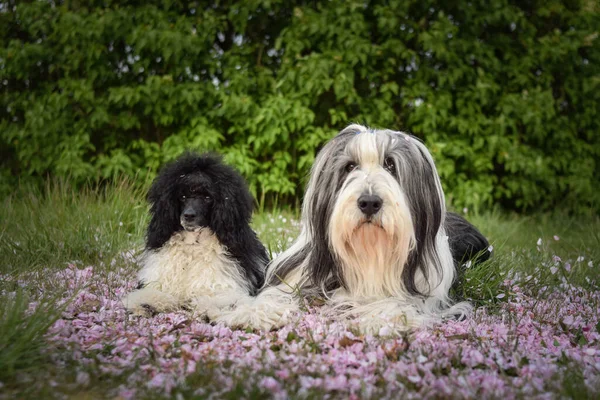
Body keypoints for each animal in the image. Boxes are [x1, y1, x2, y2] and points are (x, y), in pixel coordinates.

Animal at [217, 123, 492, 332]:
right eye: (349, 166)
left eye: (391, 165)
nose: (369, 202)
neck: (369, 251)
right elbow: (276, 292)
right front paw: (258, 312)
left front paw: (383, 317)